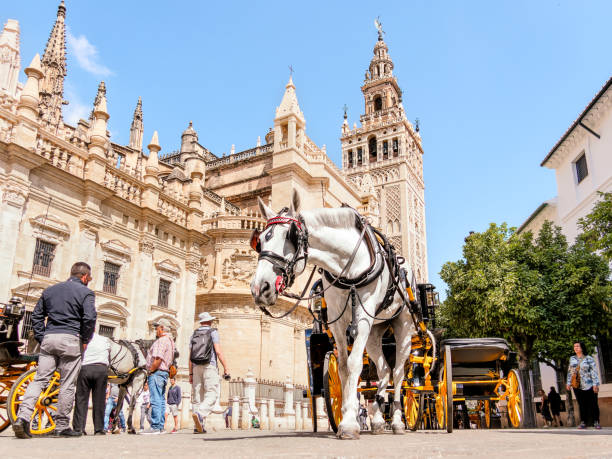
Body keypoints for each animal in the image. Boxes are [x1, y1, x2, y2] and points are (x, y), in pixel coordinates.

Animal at [250, 191, 420, 442]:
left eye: (291, 235)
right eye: (259, 240)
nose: (260, 288)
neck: (348, 263)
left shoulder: (363, 316)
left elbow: (355, 363)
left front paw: (349, 423)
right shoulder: (337, 320)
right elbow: (343, 368)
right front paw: (348, 417)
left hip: (404, 326)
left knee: (398, 373)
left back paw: (398, 421)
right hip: (375, 330)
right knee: (384, 371)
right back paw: (379, 420)